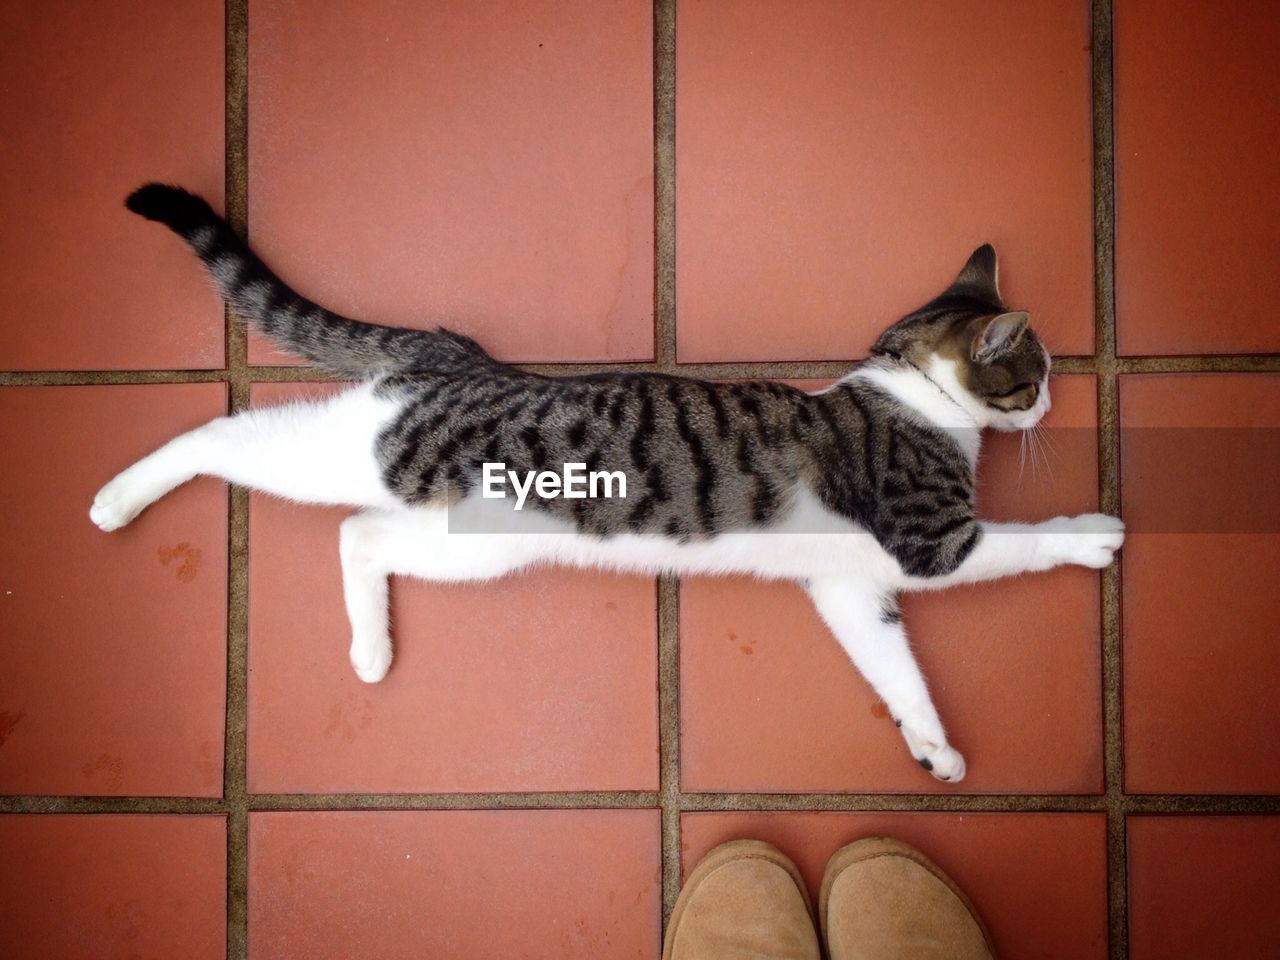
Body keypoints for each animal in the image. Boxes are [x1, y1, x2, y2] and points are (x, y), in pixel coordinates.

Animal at [92, 184, 1121, 783]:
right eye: (1035, 374)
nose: (1052, 400)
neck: (910, 387)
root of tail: (462, 362)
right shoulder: (931, 541)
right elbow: (1027, 539)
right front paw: (1097, 533)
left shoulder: (847, 586)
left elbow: (896, 671)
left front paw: (933, 745)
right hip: (365, 449)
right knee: (230, 432)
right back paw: (117, 499)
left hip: (469, 543)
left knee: (358, 534)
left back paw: (372, 651)